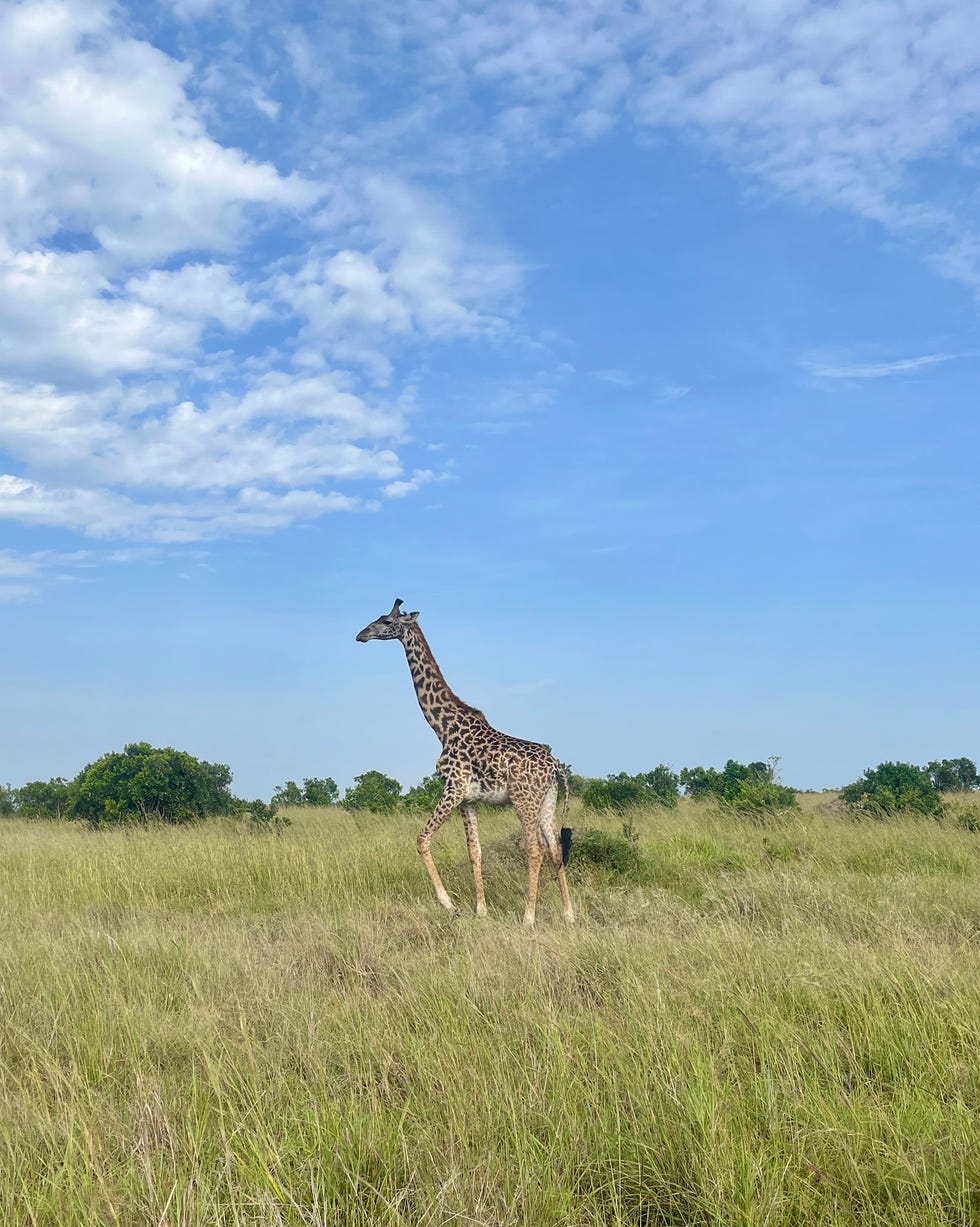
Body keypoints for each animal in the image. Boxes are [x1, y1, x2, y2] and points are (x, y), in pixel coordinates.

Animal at [356, 598, 575, 927]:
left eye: (386, 621)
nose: (361, 634)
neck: (442, 727)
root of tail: (554, 766)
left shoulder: (453, 788)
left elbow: (422, 839)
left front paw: (449, 904)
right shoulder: (468, 800)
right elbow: (475, 851)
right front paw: (481, 910)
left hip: (524, 800)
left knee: (535, 849)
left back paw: (528, 917)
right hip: (547, 800)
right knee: (555, 848)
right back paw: (569, 914)